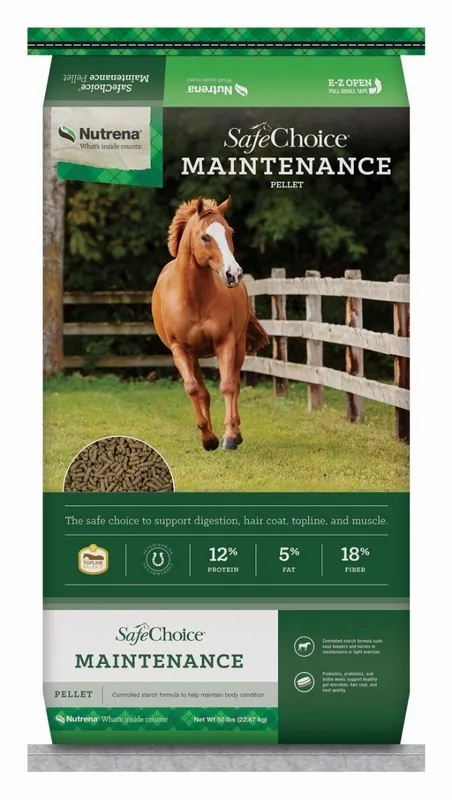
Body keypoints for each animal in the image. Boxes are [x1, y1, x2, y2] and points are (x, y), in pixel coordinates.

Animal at [152, 196, 268, 451]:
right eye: (205, 237)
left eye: (230, 232)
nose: (233, 274)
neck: (194, 298)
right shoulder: (180, 350)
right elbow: (194, 389)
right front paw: (207, 437)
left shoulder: (225, 344)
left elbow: (227, 386)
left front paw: (229, 436)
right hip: (195, 356)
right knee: (202, 391)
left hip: (239, 346)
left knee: (235, 383)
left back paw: (235, 432)